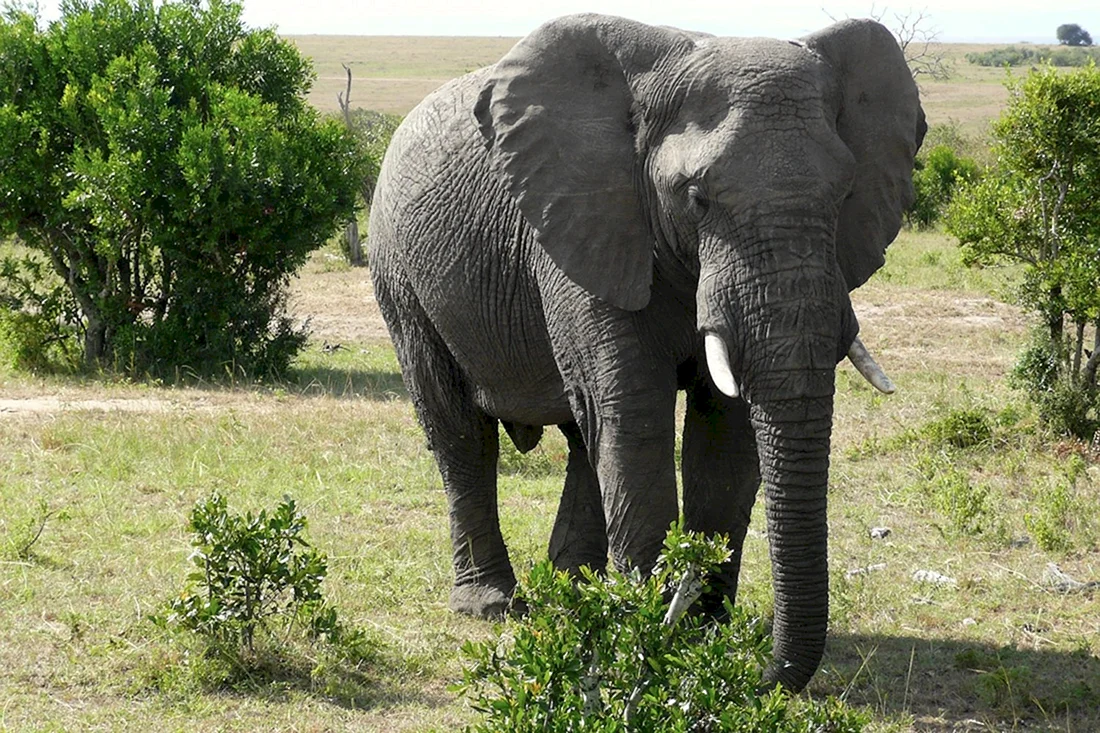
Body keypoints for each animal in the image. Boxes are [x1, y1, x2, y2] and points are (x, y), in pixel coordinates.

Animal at [368, 13, 925, 691]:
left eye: (845, 194)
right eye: (697, 197)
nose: (764, 673)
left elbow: (725, 437)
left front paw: (700, 638)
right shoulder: (582, 223)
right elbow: (636, 421)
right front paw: (650, 641)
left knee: (583, 436)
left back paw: (572, 595)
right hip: (399, 275)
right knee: (461, 431)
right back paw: (496, 604)